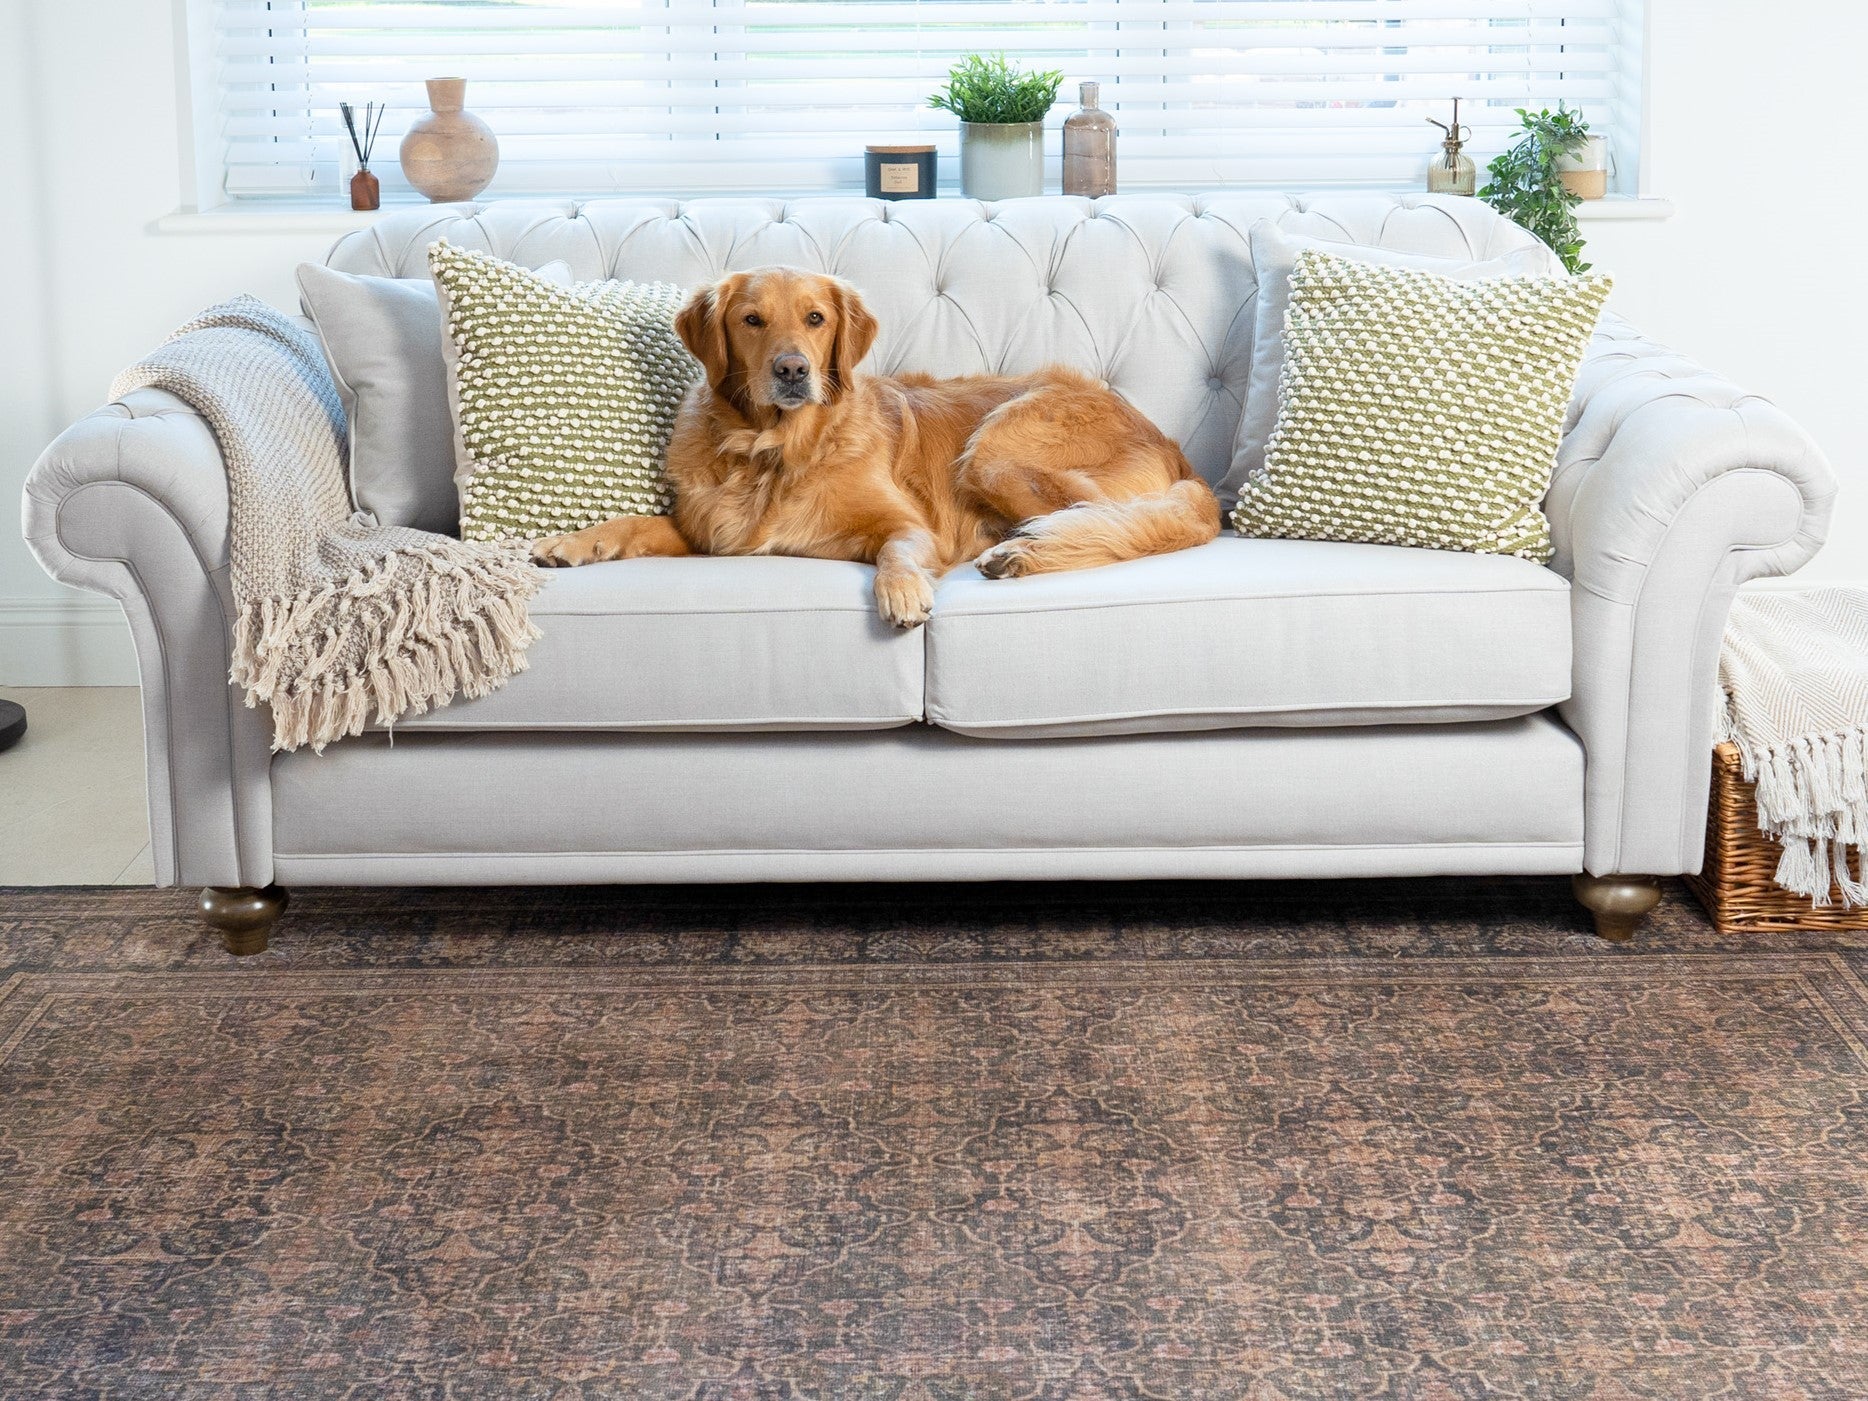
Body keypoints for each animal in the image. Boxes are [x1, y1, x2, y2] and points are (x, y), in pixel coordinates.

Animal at [534, 268, 1217, 631]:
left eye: (815, 319)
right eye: (752, 320)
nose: (792, 371)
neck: (772, 450)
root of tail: (1170, 444)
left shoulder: (910, 524)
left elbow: (896, 551)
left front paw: (902, 592)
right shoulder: (710, 533)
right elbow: (637, 523)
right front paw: (572, 541)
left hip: (995, 450)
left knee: (1107, 520)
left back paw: (1021, 553)